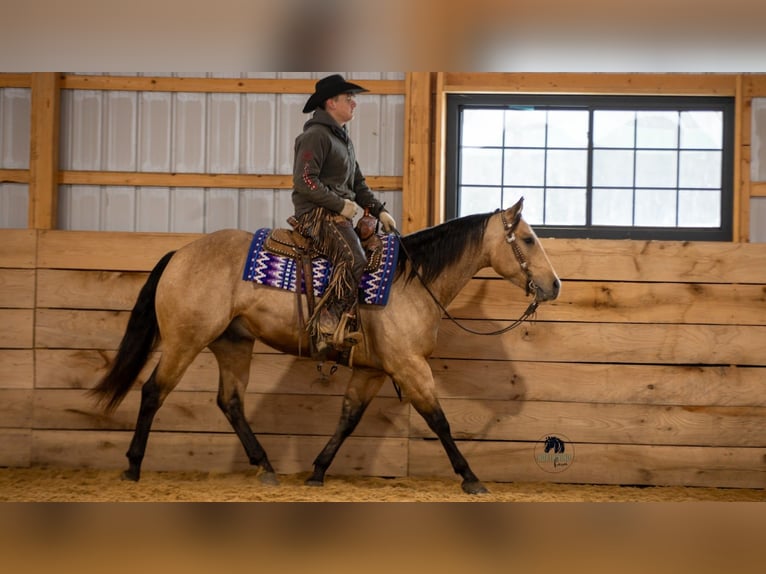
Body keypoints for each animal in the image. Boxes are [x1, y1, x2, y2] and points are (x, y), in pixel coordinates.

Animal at [91, 197, 560, 494]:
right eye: (529, 239)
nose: (554, 285)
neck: (410, 281)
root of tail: (179, 253)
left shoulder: (372, 371)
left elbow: (348, 419)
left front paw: (317, 471)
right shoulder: (409, 366)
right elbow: (439, 420)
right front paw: (470, 477)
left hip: (233, 344)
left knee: (231, 402)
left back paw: (266, 467)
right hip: (185, 340)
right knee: (153, 391)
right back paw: (133, 466)